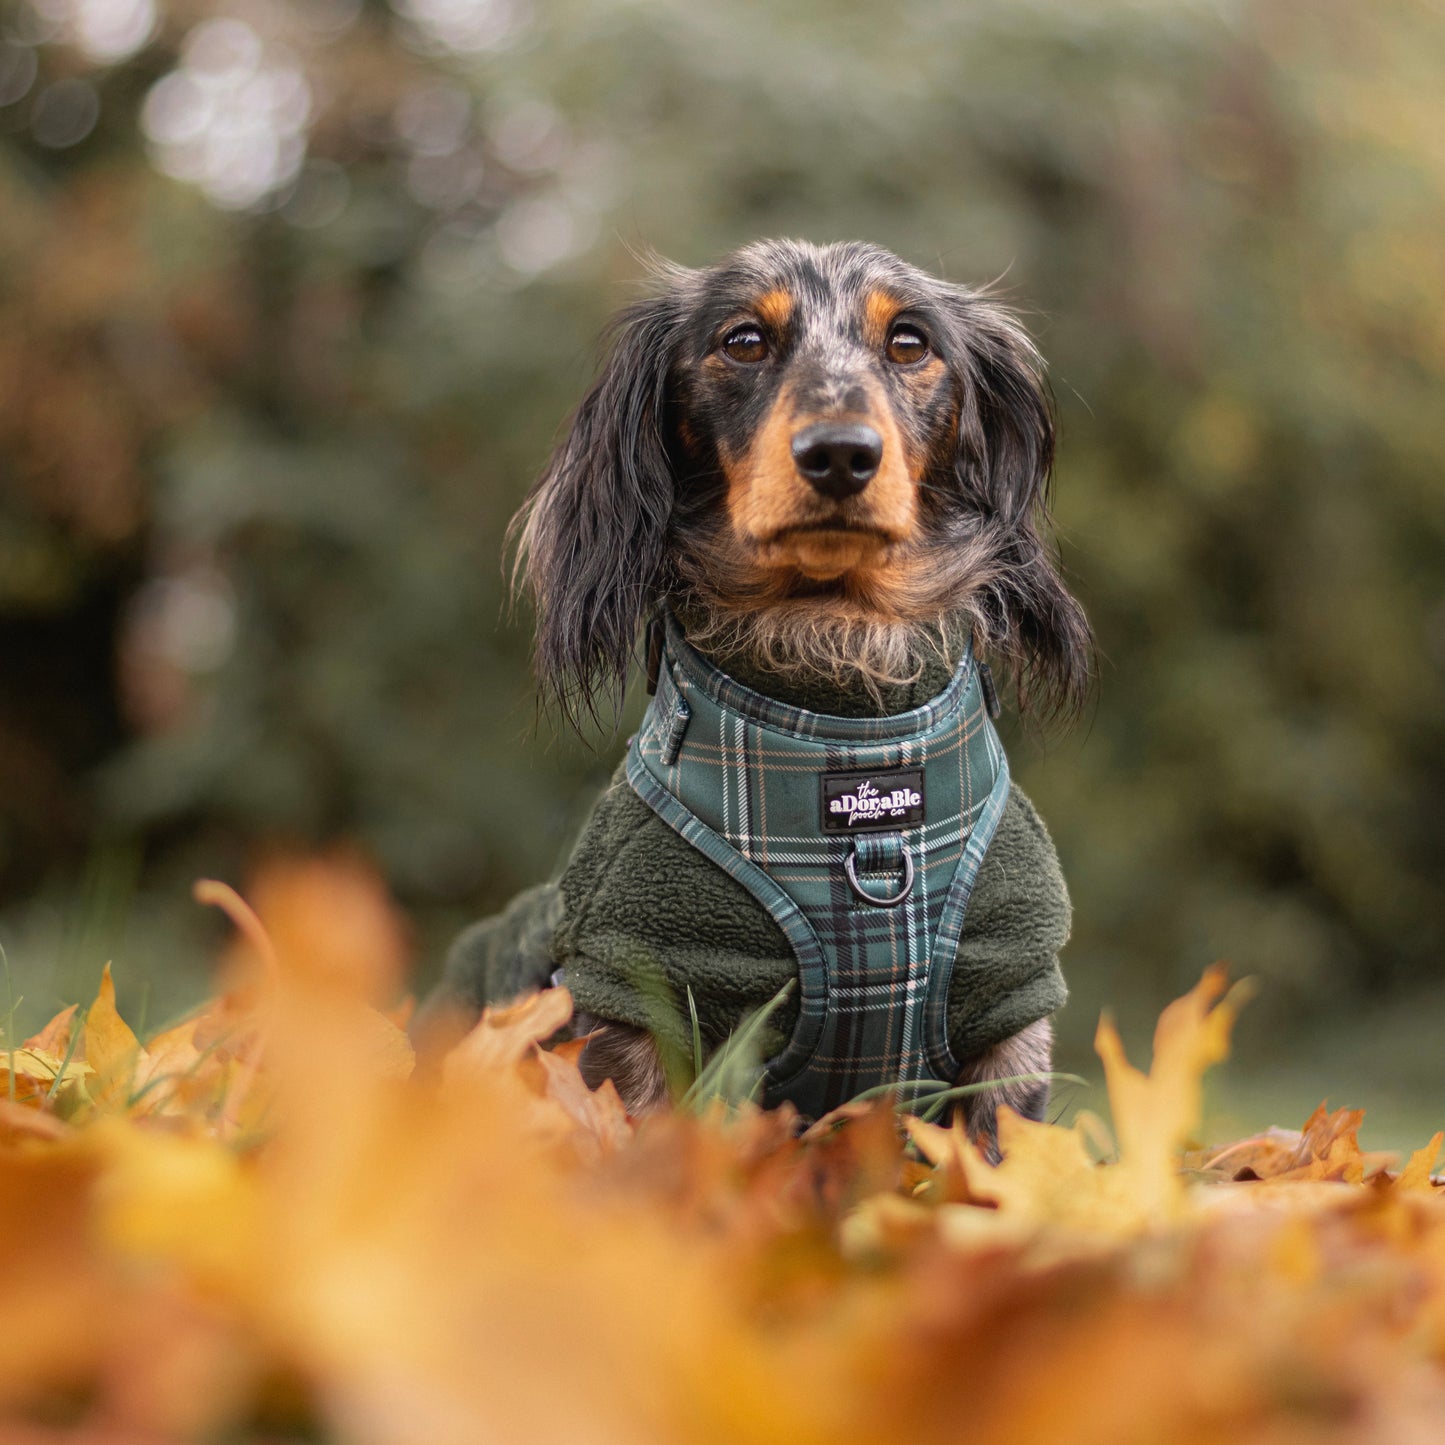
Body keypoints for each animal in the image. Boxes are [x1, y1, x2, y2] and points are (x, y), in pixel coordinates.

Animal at [421, 239, 1086, 1161]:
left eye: (909, 342)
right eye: (742, 341)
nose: (839, 454)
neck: (843, 725)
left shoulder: (1009, 992)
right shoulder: (643, 981)